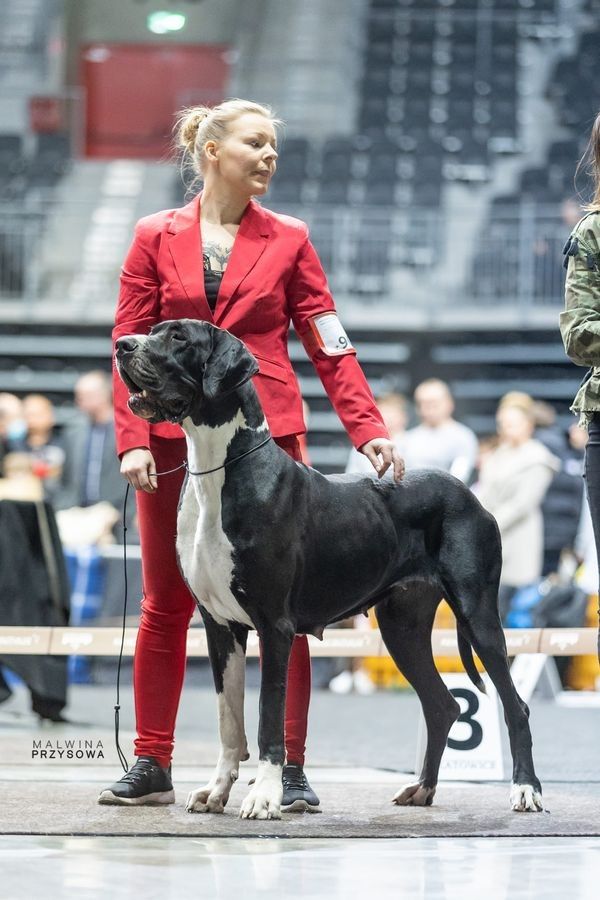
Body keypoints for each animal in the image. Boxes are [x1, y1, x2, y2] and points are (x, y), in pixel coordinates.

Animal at [115, 319, 543, 820]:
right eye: (152, 329)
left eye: (179, 338)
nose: (122, 345)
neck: (218, 469)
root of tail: (471, 494)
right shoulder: (221, 627)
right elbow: (229, 720)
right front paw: (216, 790)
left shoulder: (274, 626)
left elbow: (268, 717)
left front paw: (264, 796)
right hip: (402, 626)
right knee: (442, 706)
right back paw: (422, 789)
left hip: (478, 615)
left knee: (515, 705)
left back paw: (526, 790)